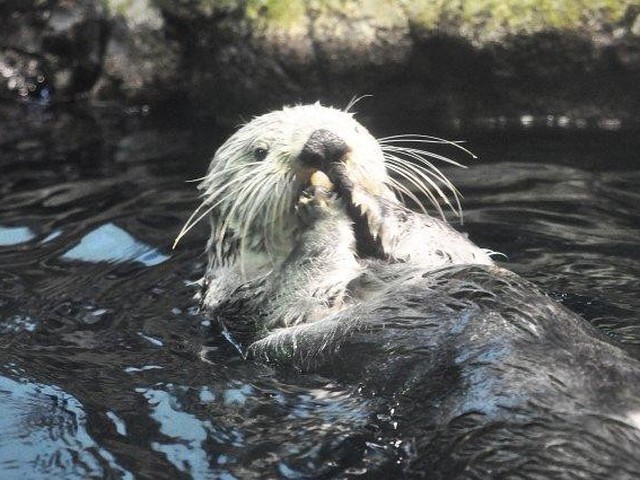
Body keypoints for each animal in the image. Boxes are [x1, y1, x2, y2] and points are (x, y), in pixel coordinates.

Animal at [176, 104, 640, 476]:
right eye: (259, 152)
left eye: (351, 128)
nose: (324, 145)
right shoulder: (253, 304)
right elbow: (303, 287)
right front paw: (321, 206)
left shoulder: (446, 255)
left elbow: (437, 241)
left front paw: (368, 201)